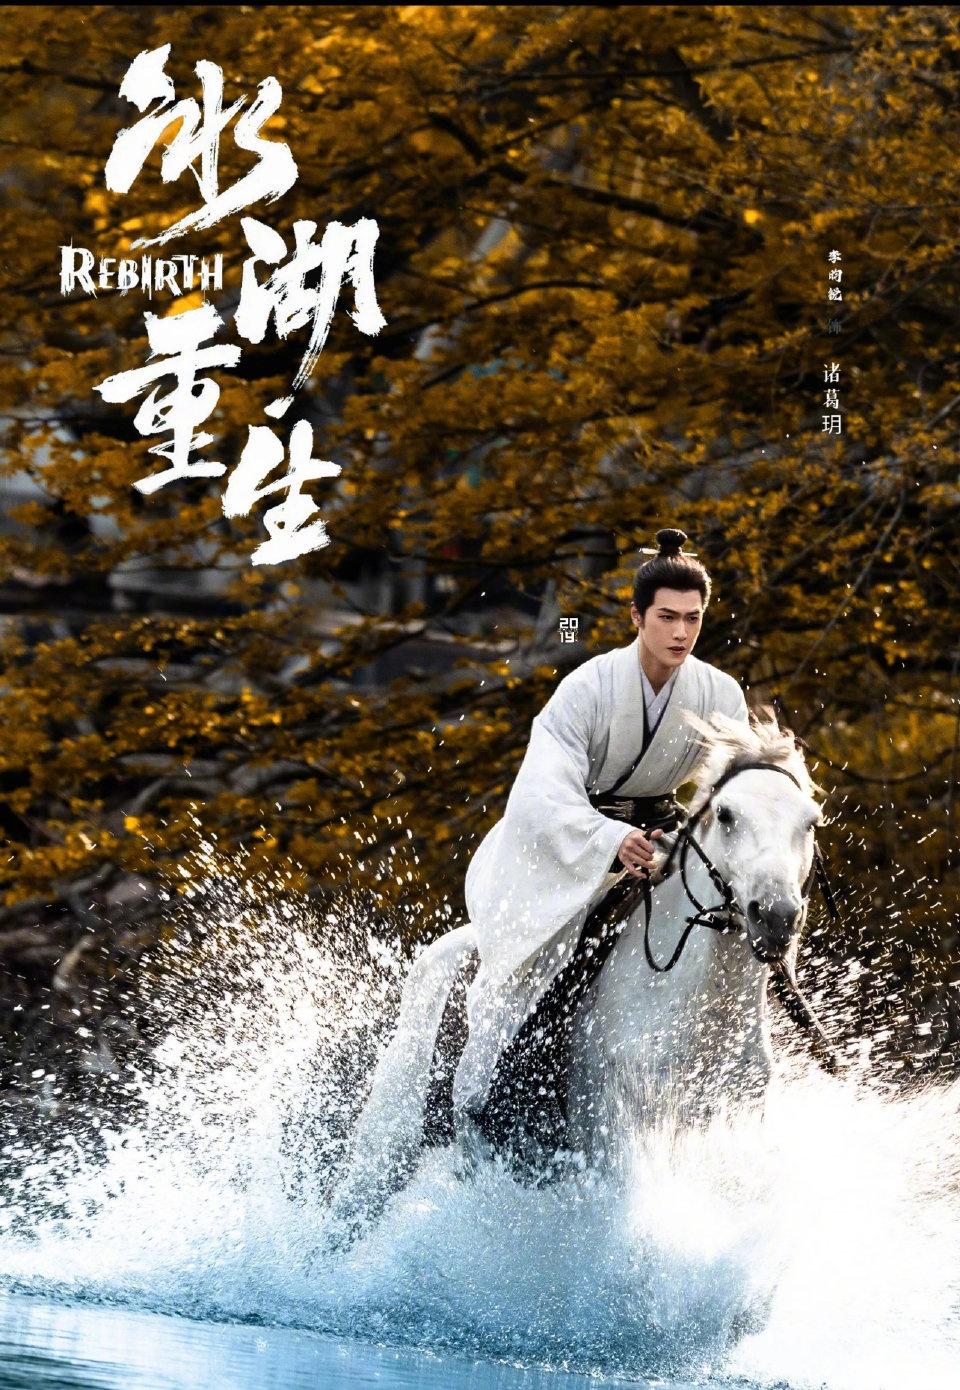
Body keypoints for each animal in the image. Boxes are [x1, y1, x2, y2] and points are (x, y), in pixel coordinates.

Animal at [329, 709, 828, 1234]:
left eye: (809, 822)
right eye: (727, 815)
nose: (775, 916)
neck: (695, 1007)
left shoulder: (733, 1118)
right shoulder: (615, 1129)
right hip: (387, 1147)